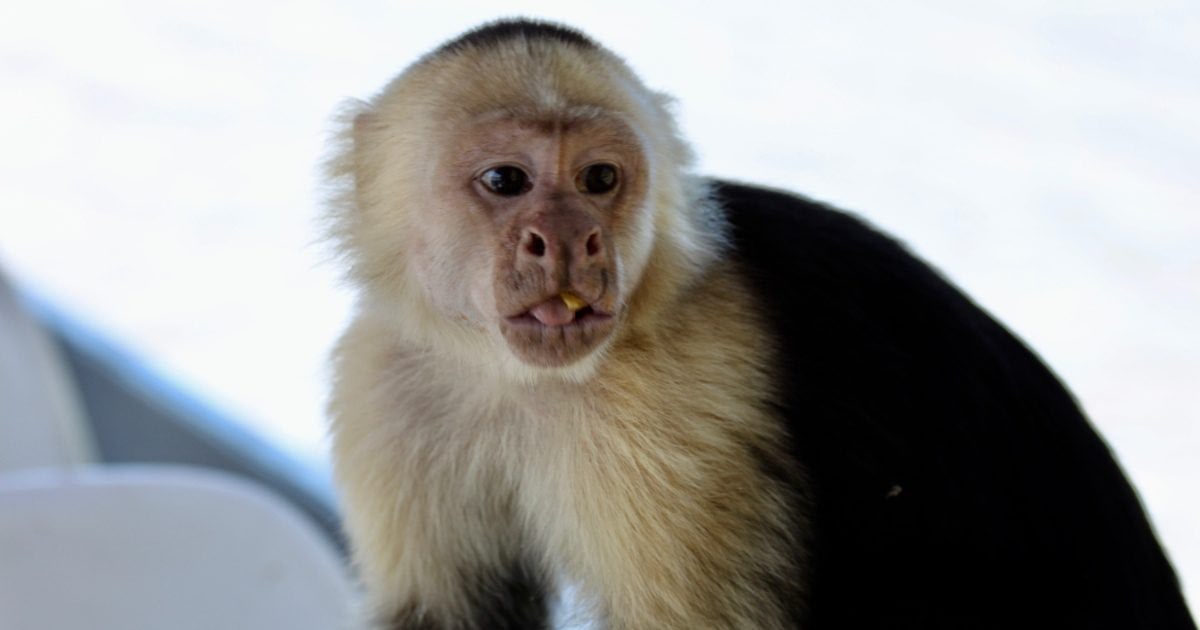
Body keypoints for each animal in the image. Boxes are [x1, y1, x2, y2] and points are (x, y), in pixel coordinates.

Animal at [323, 19, 1196, 630]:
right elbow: (443, 611)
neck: (514, 378)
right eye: (506, 181)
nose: (572, 239)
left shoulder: (671, 412)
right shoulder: (385, 377)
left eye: (600, 179)